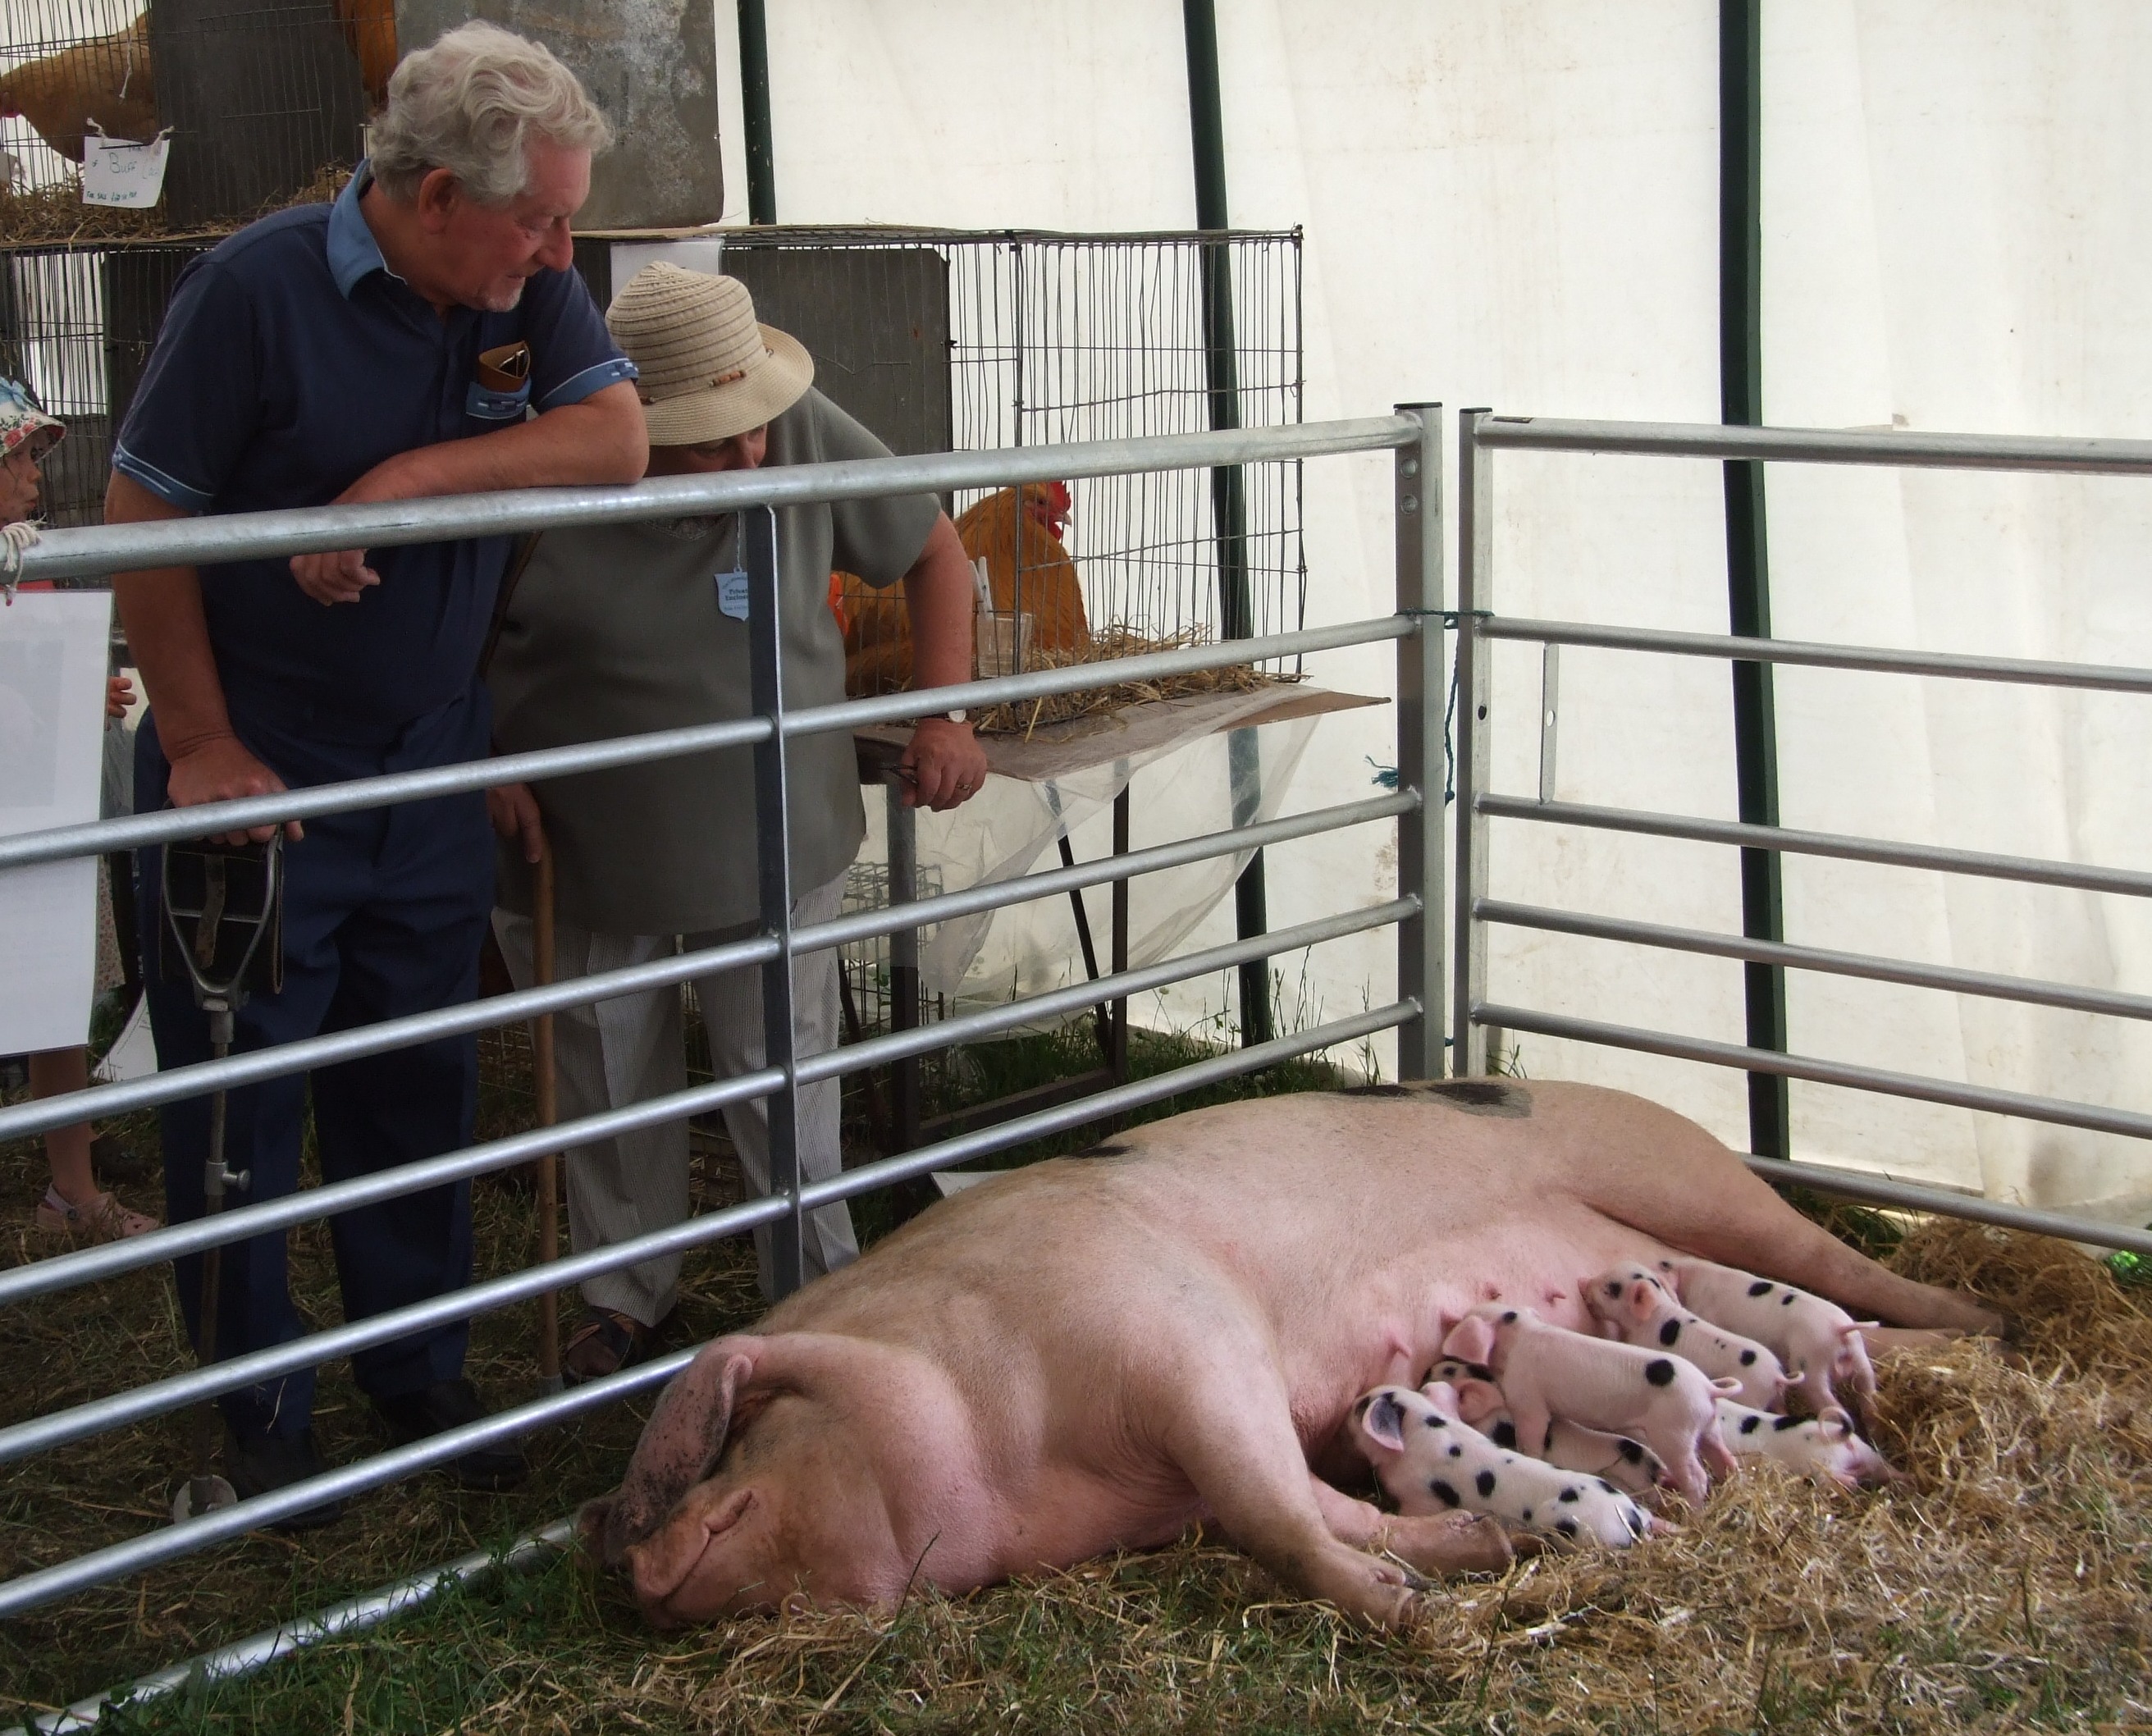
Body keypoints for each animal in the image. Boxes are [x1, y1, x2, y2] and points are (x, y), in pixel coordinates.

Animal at [1656, 1255, 1879, 1419]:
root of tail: (1840, 1328)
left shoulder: (1706, 1312)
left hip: (1812, 1361)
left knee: (1831, 1403)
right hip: (1859, 1355)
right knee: (1868, 1390)